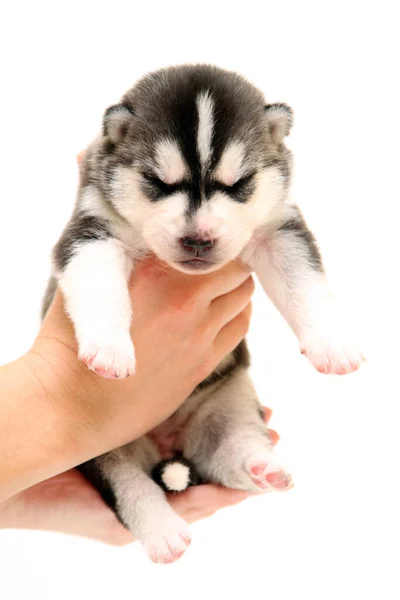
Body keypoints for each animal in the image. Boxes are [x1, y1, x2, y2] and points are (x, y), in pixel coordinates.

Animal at [42, 64, 364, 564]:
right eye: (158, 182)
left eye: (239, 183)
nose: (199, 238)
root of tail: (170, 442)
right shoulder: (91, 231)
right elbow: (99, 288)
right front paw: (110, 349)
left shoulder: (280, 229)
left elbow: (304, 284)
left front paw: (331, 344)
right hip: (102, 446)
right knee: (129, 484)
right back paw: (162, 531)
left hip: (228, 404)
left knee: (231, 447)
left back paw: (262, 467)